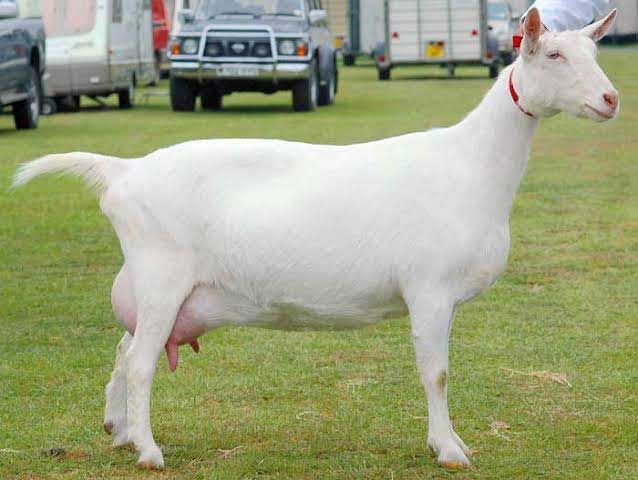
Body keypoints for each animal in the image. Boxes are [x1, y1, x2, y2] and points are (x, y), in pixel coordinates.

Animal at [12, 9, 620, 470]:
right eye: (553, 56)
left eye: (594, 54)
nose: (612, 100)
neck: (470, 164)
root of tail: (123, 172)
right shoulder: (429, 289)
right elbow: (437, 372)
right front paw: (449, 449)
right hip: (163, 277)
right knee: (140, 362)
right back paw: (149, 452)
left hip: (151, 286)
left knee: (124, 349)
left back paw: (117, 429)